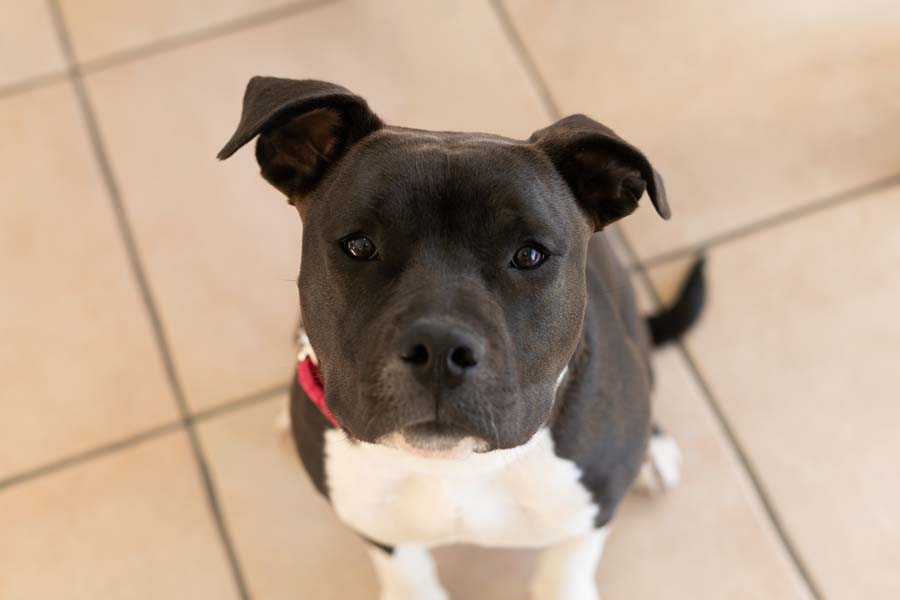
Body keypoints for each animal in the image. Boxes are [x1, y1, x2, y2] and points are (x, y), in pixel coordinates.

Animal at [216, 77, 704, 596]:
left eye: (530, 255)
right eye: (360, 246)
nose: (439, 349)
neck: (454, 466)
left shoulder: (591, 510)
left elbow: (565, 570)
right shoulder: (375, 524)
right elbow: (408, 575)